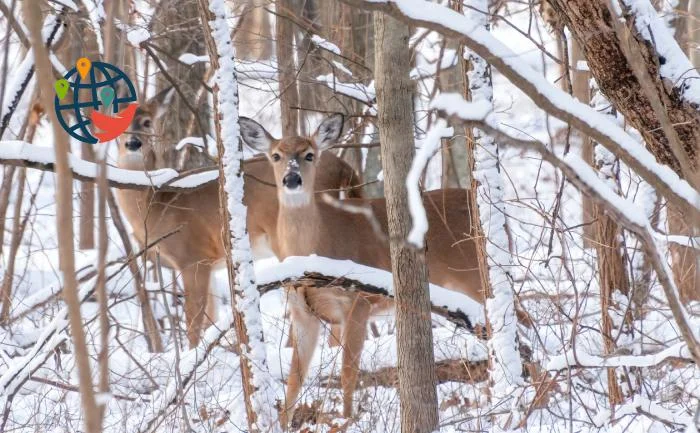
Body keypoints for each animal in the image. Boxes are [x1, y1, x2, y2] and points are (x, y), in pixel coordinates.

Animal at [114, 92, 360, 348]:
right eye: (116, 119)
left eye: (147, 122)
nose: (133, 143)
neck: (157, 204)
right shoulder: (209, 263)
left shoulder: (192, 257)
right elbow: (210, 318)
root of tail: (345, 168)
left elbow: (194, 322)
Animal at [238, 113, 484, 424]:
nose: (291, 178)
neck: (316, 247)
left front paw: (345, 420)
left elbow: (348, 372)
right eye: (276, 155)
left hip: (474, 276)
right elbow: (295, 379)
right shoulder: (301, 311)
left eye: (309, 154)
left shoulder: (358, 302)